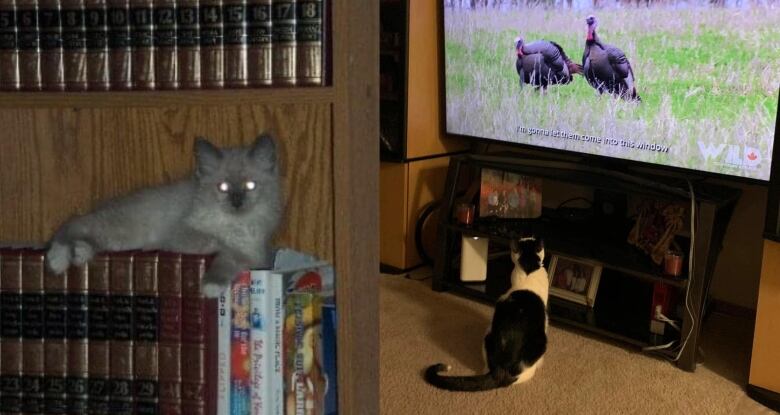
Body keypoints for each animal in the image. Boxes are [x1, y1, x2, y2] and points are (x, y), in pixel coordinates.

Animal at [45, 135, 284, 298]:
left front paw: (211, 286)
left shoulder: (252, 254)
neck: (235, 224)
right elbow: (216, 242)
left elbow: (229, 259)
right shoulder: (180, 234)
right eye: (223, 187)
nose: (237, 202)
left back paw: (80, 253)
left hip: (117, 239)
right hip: (118, 229)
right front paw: (211, 284)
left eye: (250, 185)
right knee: (74, 223)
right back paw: (58, 259)